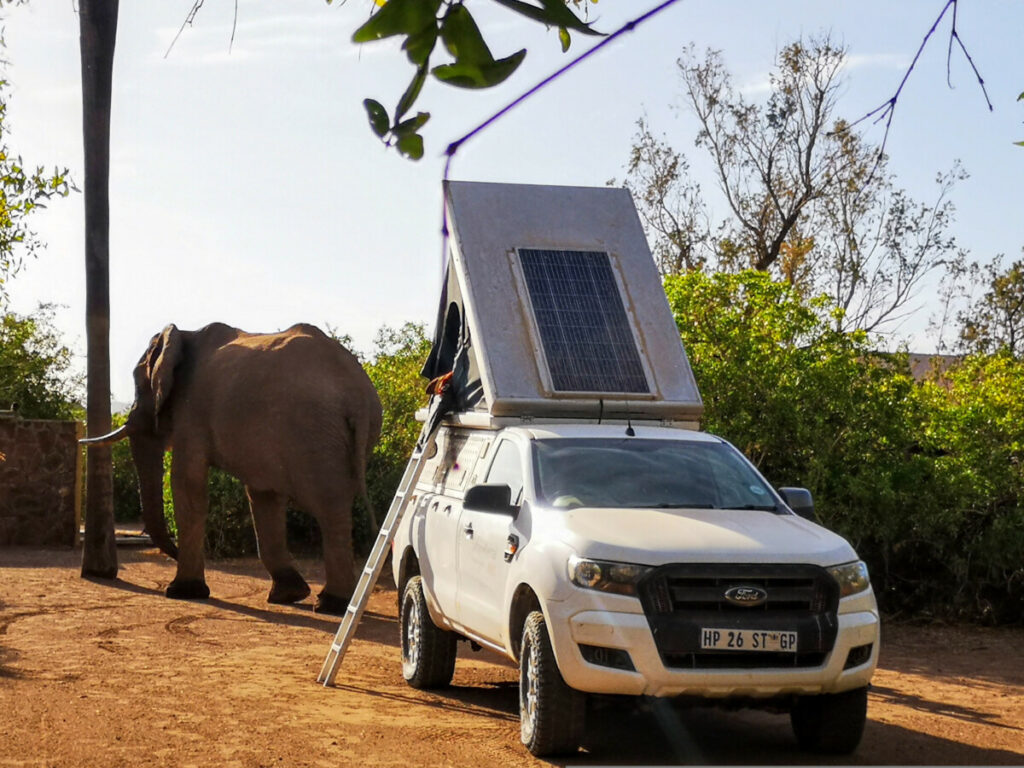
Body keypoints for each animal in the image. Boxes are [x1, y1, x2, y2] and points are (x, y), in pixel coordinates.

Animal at [82, 321, 385, 618]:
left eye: (138, 382)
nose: (174, 553)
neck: (183, 335)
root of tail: (358, 394)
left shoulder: (192, 411)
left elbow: (187, 483)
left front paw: (183, 591)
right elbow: (263, 497)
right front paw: (288, 595)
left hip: (315, 434)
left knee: (330, 510)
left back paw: (331, 604)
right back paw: (333, 603)